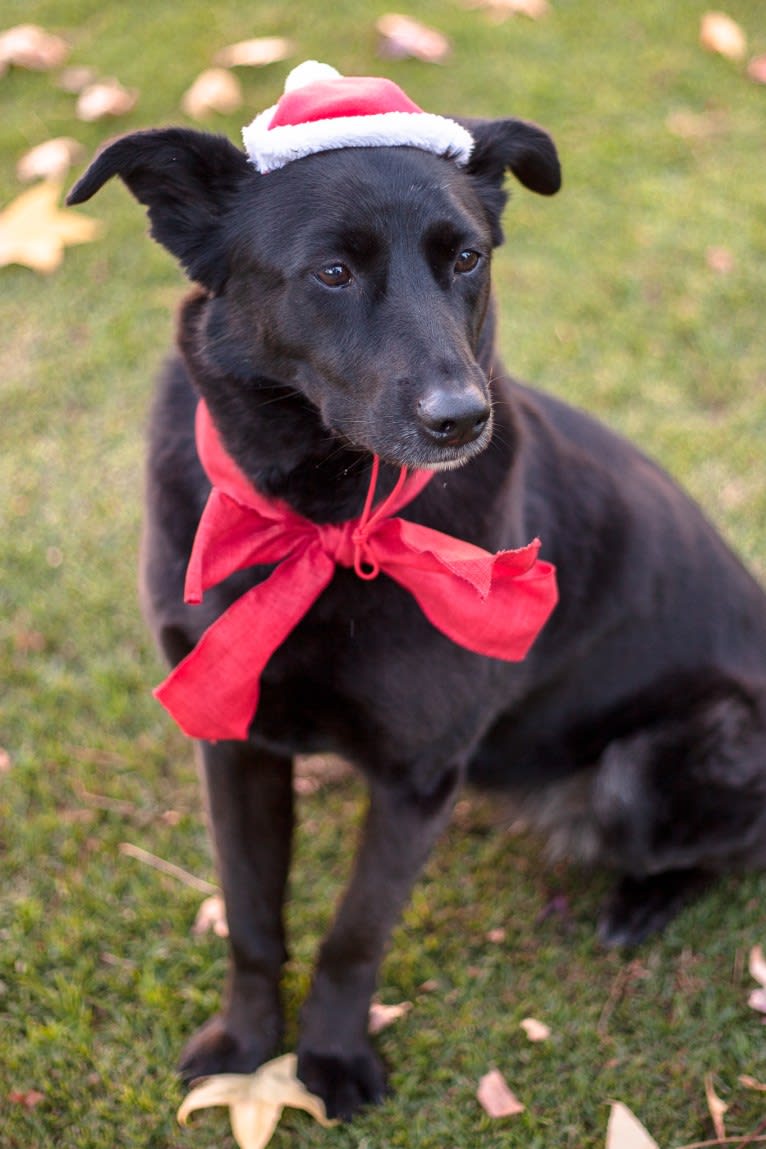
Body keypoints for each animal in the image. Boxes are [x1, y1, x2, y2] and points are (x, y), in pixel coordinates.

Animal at [67, 76, 766, 1116]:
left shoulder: (416, 775)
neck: (324, 520)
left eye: (466, 258)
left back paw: (638, 904)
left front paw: (329, 1060)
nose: (462, 419)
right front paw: (246, 1047)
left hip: (656, 762)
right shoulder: (232, 740)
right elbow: (251, 912)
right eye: (330, 273)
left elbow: (355, 934)